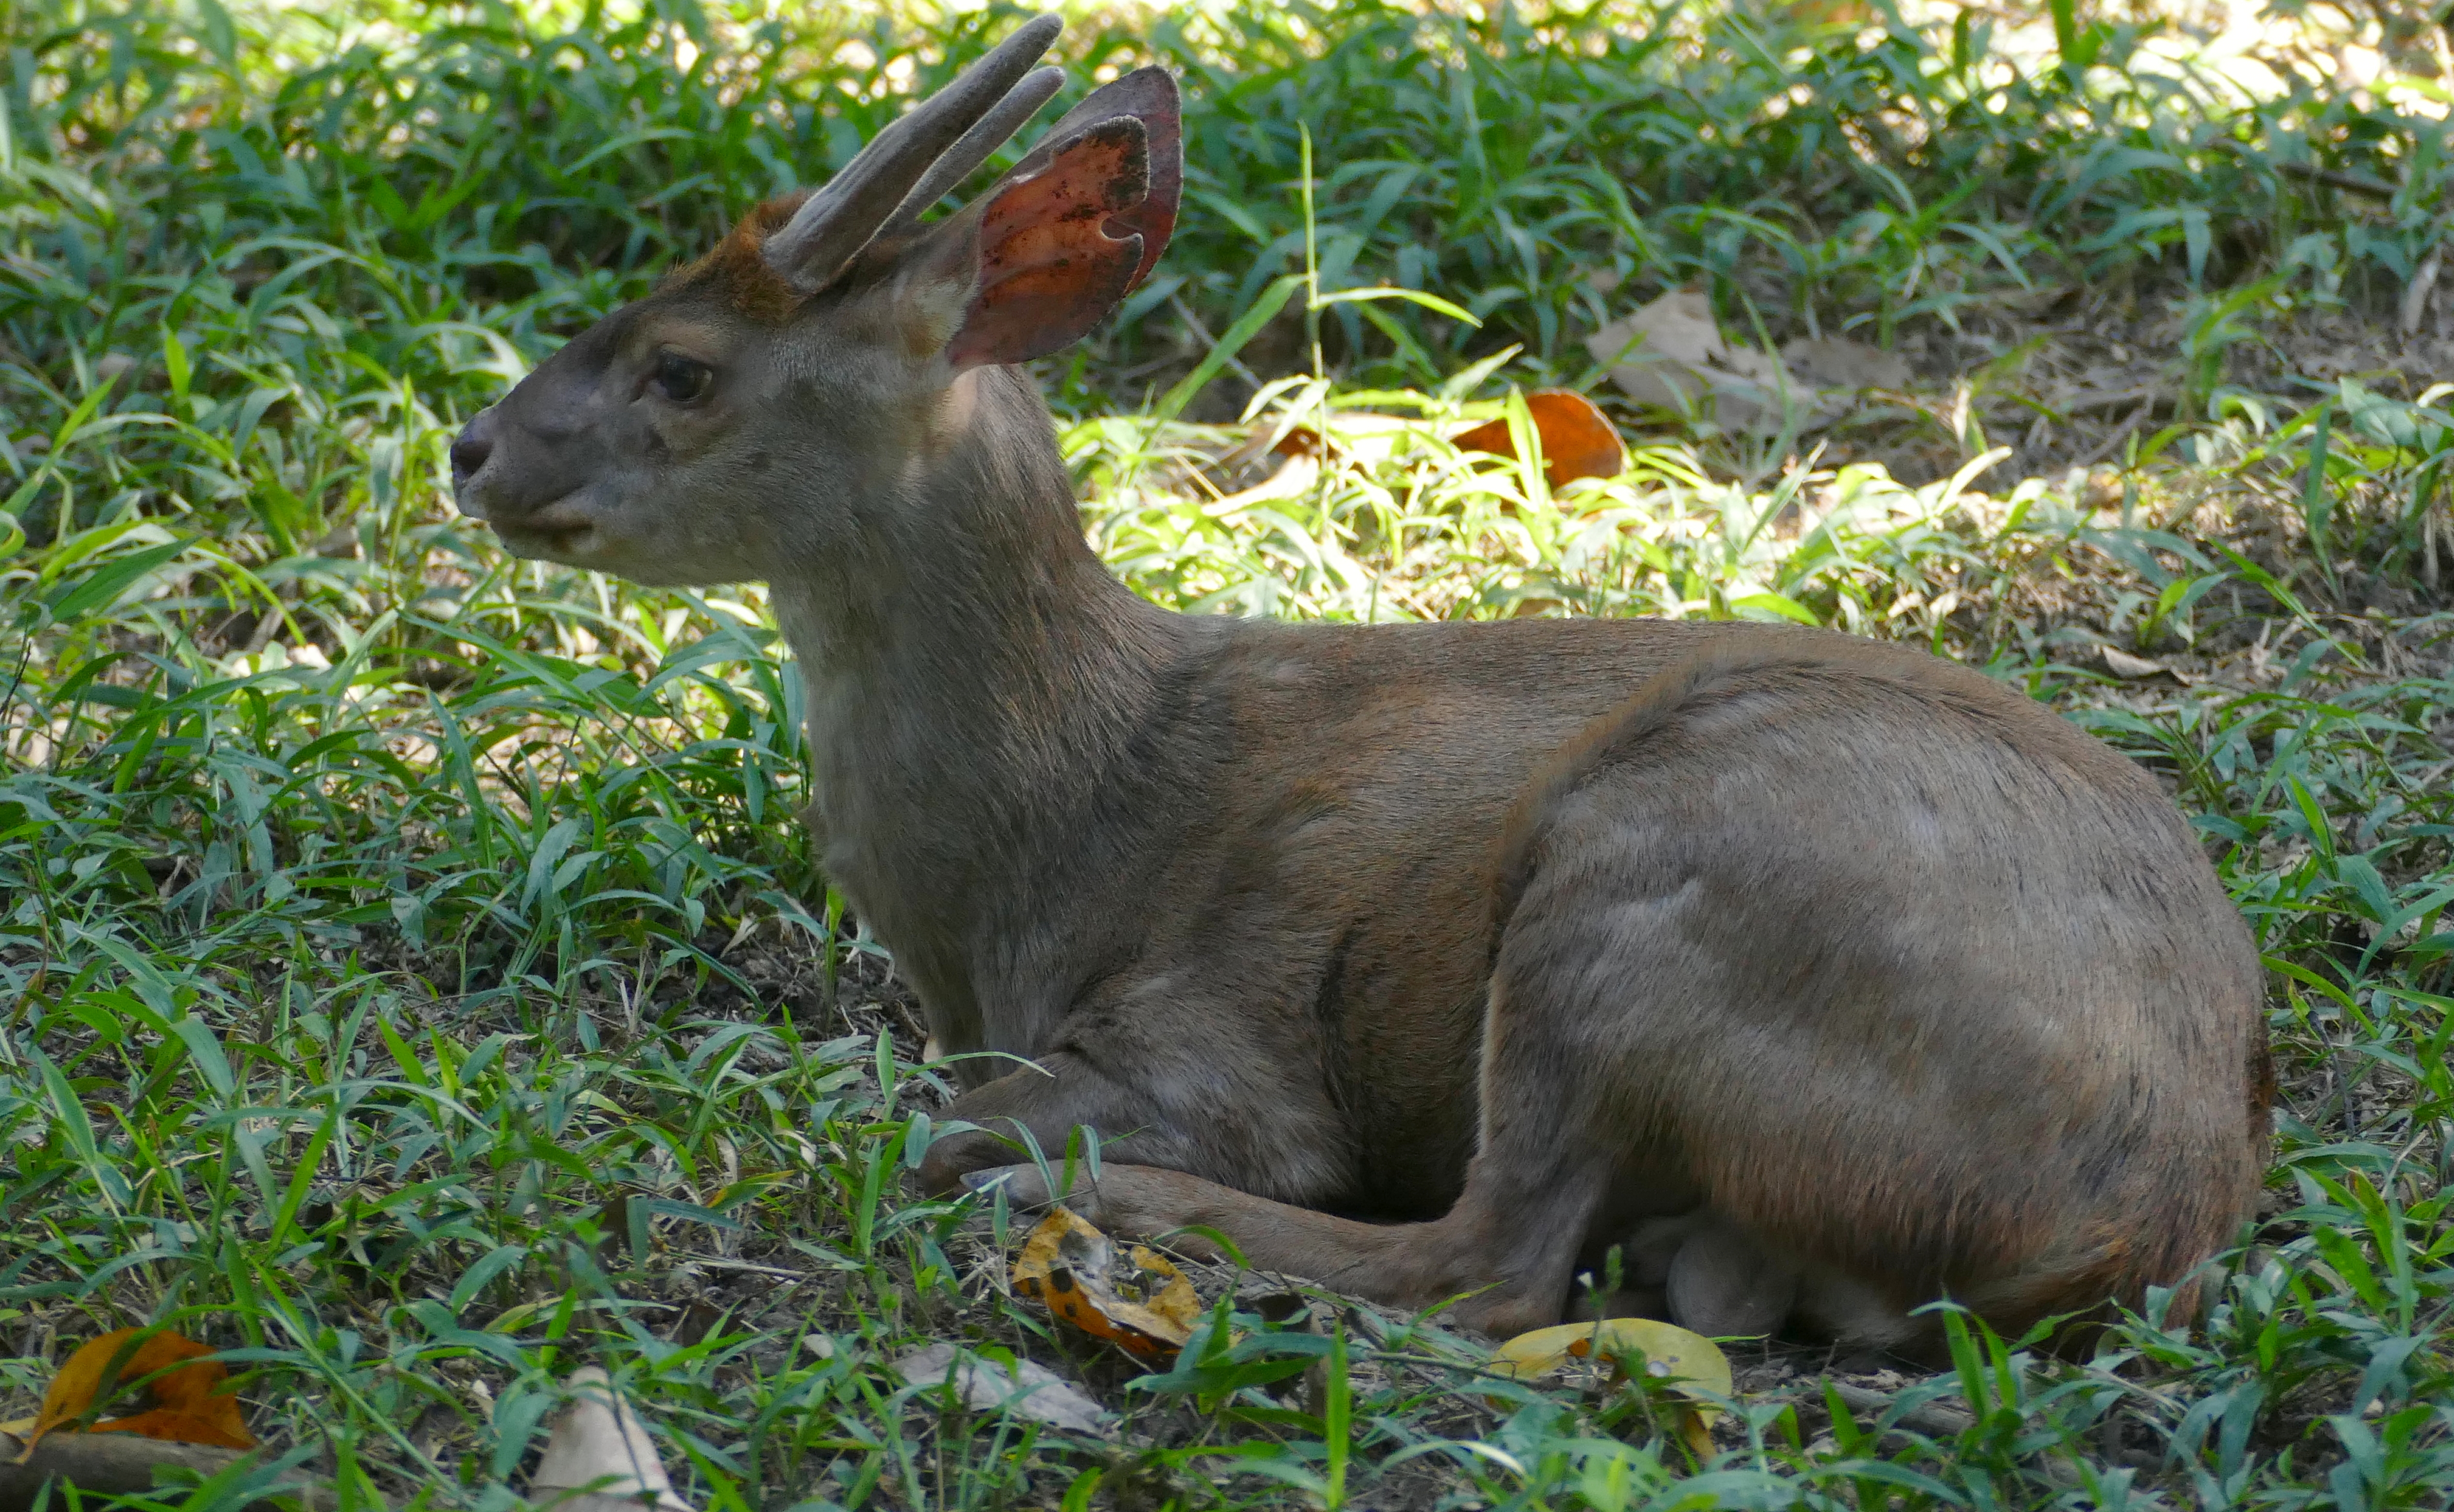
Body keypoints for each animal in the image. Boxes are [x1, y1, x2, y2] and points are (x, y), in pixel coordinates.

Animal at [447, 18, 2257, 1355]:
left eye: (683, 370)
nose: (471, 447)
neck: (1053, 834)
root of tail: (2143, 1210)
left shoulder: (1219, 1045)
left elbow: (980, 1119)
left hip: (1651, 884)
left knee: (1489, 1262)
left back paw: (1108, 1215)